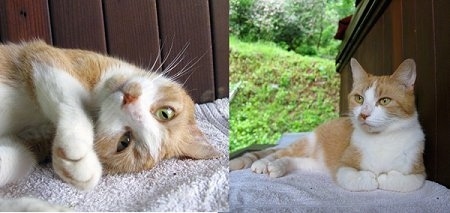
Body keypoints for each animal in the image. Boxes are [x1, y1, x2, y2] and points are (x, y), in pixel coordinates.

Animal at [0, 40, 219, 201]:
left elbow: (19, 157)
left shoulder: (34, 139)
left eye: (124, 141)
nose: (129, 100)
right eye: (165, 113)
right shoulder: (45, 56)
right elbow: (69, 98)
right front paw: (76, 144)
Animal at [230, 58, 428, 193]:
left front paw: (385, 177)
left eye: (384, 100)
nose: (363, 114)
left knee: (293, 160)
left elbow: (405, 181)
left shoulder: (419, 171)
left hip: (316, 164)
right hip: (309, 142)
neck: (382, 139)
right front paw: (372, 177)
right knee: (278, 153)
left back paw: (279, 167)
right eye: (359, 98)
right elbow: (357, 179)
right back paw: (263, 163)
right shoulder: (343, 167)